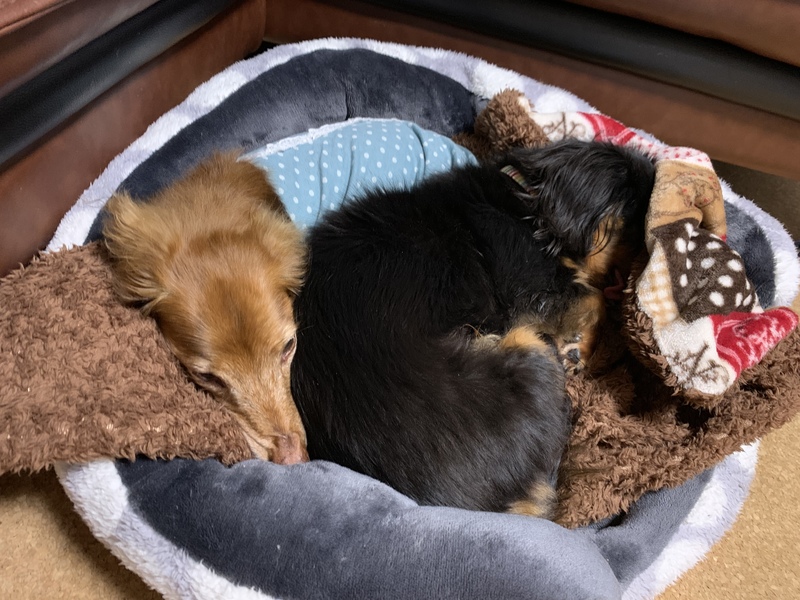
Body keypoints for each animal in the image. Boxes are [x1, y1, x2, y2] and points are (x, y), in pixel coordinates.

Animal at [290, 139, 655, 516]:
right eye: (637, 233)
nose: (635, 288)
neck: (528, 200)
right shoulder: (534, 292)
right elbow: (596, 300)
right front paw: (583, 346)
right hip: (529, 347)